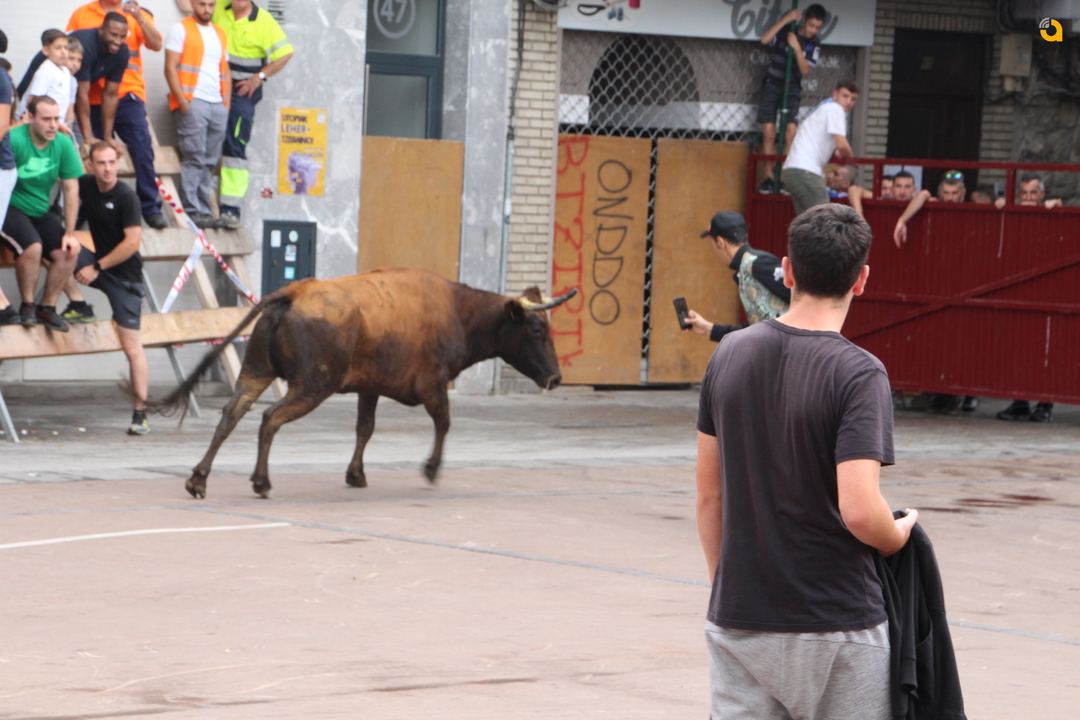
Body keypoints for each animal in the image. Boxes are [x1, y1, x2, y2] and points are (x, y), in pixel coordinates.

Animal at [151, 268, 576, 499]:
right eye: (537, 329)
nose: (555, 378)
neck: (458, 311)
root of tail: (295, 291)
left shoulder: (370, 386)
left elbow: (365, 428)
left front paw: (355, 474)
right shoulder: (433, 385)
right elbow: (444, 422)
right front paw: (431, 469)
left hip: (255, 370)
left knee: (231, 413)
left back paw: (198, 479)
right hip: (312, 385)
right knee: (270, 418)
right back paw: (261, 481)